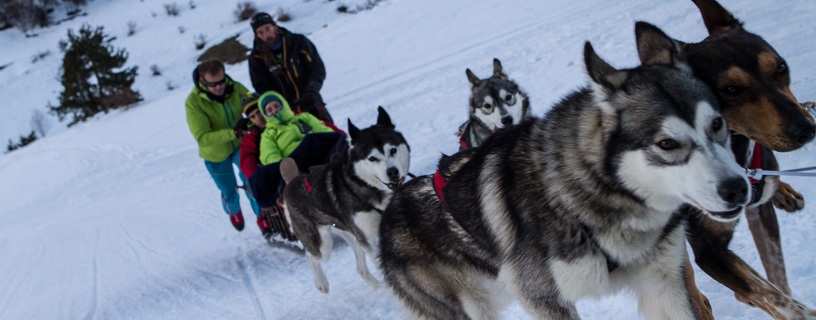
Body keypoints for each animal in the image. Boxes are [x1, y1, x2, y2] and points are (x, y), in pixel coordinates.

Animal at [282, 107, 412, 296]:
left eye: (393, 150)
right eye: (372, 158)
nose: (392, 172)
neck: (368, 187)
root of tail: (290, 183)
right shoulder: (367, 240)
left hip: (351, 235)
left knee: (360, 269)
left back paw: (377, 287)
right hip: (322, 245)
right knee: (311, 255)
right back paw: (321, 282)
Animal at [380, 25, 748, 320]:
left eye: (717, 123)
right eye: (666, 143)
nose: (738, 188)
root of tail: (391, 208)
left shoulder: (664, 283)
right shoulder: (543, 297)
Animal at [636, 0, 816, 318]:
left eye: (781, 67)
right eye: (730, 89)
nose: (805, 129)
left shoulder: (760, 213)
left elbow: (777, 281)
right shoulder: (709, 250)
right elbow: (769, 294)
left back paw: (784, 191)